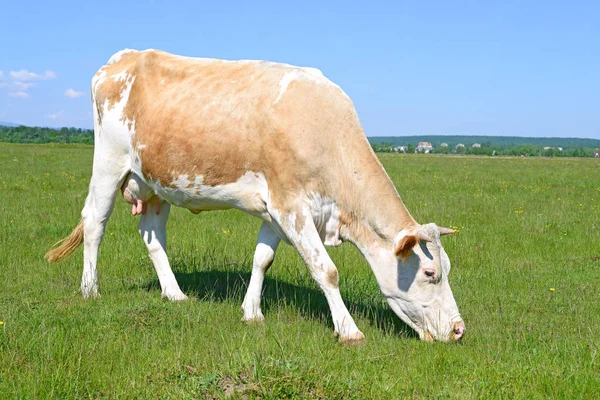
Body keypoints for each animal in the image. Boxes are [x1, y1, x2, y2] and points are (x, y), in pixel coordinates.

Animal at [44, 49, 466, 344]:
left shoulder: (275, 211)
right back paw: (90, 289)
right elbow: (326, 270)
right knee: (95, 222)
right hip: (109, 163)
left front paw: (251, 312)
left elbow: (262, 259)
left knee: (152, 235)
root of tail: (122, 57)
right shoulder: (292, 205)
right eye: (430, 273)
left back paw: (175, 293)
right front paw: (349, 331)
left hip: (154, 181)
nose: (459, 329)